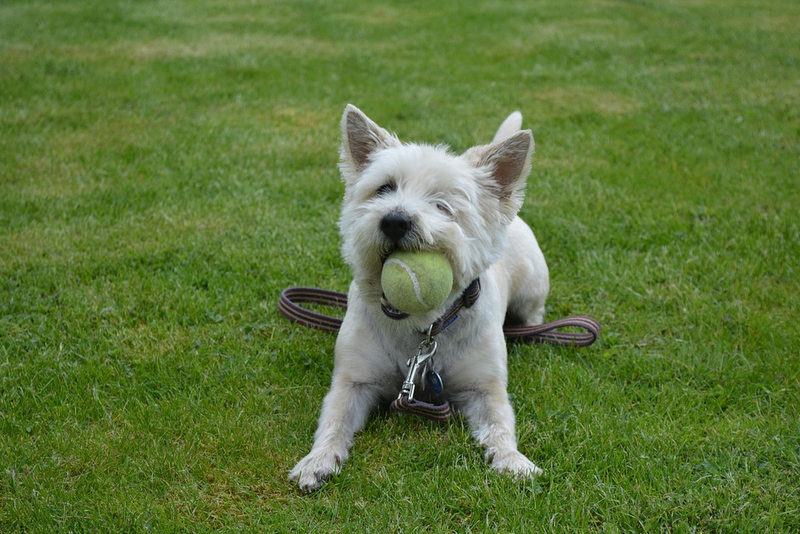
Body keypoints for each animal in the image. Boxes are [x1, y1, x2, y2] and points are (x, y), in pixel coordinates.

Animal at [290, 104, 552, 494]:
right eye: (384, 188)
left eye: (443, 205)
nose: (394, 220)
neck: (420, 330)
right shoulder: (353, 382)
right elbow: (334, 422)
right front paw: (316, 461)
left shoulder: (485, 388)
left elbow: (499, 425)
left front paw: (513, 461)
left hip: (533, 286)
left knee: (534, 313)